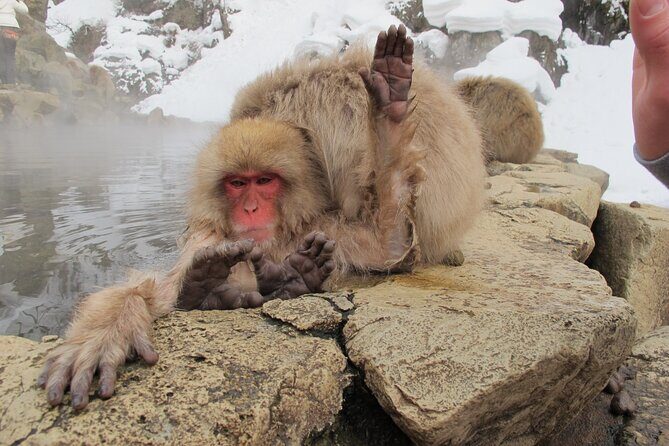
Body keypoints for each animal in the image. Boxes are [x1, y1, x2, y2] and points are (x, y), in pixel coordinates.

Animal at [38, 24, 487, 409]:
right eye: (238, 183)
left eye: (264, 181)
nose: (251, 208)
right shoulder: (206, 239)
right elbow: (156, 293)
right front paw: (103, 333)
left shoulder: (326, 228)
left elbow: (389, 242)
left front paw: (389, 105)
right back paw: (212, 288)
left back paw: (289, 278)